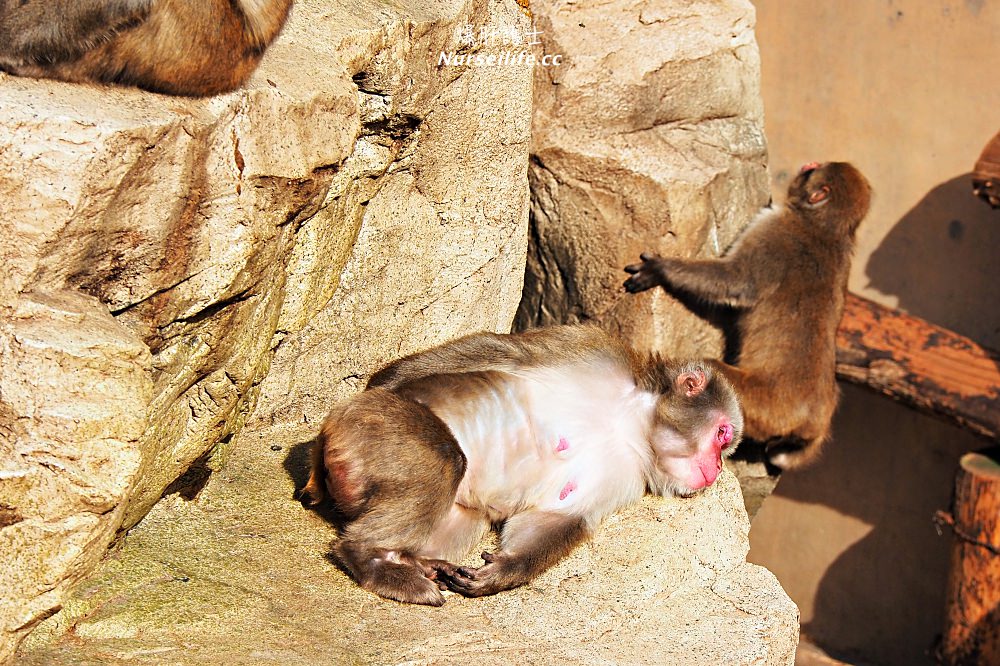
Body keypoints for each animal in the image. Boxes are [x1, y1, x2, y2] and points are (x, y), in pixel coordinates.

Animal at [296, 324, 744, 604]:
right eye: (723, 436)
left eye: (726, 447)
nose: (718, 469)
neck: (628, 425)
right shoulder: (595, 349)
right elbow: (505, 351)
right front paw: (387, 382)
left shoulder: (624, 475)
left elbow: (559, 516)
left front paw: (504, 570)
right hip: (372, 427)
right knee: (444, 459)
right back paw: (368, 556)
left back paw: (413, 562)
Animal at [620, 162, 872, 466]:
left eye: (812, 169)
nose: (805, 166)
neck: (827, 229)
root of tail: (813, 424)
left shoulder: (771, 229)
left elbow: (737, 281)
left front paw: (661, 269)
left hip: (760, 405)